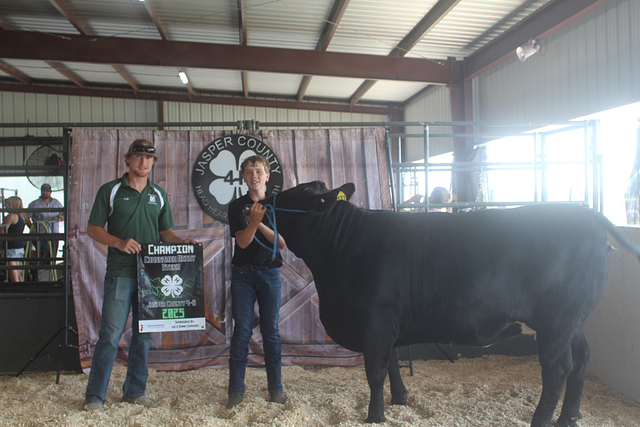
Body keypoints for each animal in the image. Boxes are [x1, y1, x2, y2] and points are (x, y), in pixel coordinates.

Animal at [255, 180, 640, 427]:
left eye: (299, 193)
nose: (262, 200)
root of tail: (584, 213)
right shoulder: (388, 323)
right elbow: (393, 362)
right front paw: (401, 399)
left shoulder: (375, 320)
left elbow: (375, 371)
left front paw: (374, 415)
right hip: (574, 320)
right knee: (582, 359)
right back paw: (569, 416)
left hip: (557, 320)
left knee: (558, 367)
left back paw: (543, 420)